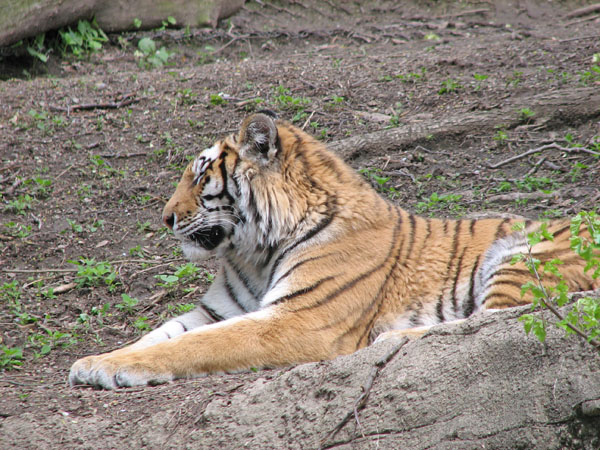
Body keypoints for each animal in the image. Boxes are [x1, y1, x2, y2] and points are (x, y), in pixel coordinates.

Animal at [68, 110, 596, 388]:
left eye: (200, 178)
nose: (166, 218)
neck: (254, 252)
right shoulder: (217, 310)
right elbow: (159, 335)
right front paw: (94, 362)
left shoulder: (298, 319)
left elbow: (197, 344)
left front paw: (112, 369)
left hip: (522, 254)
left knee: (502, 319)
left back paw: (391, 337)